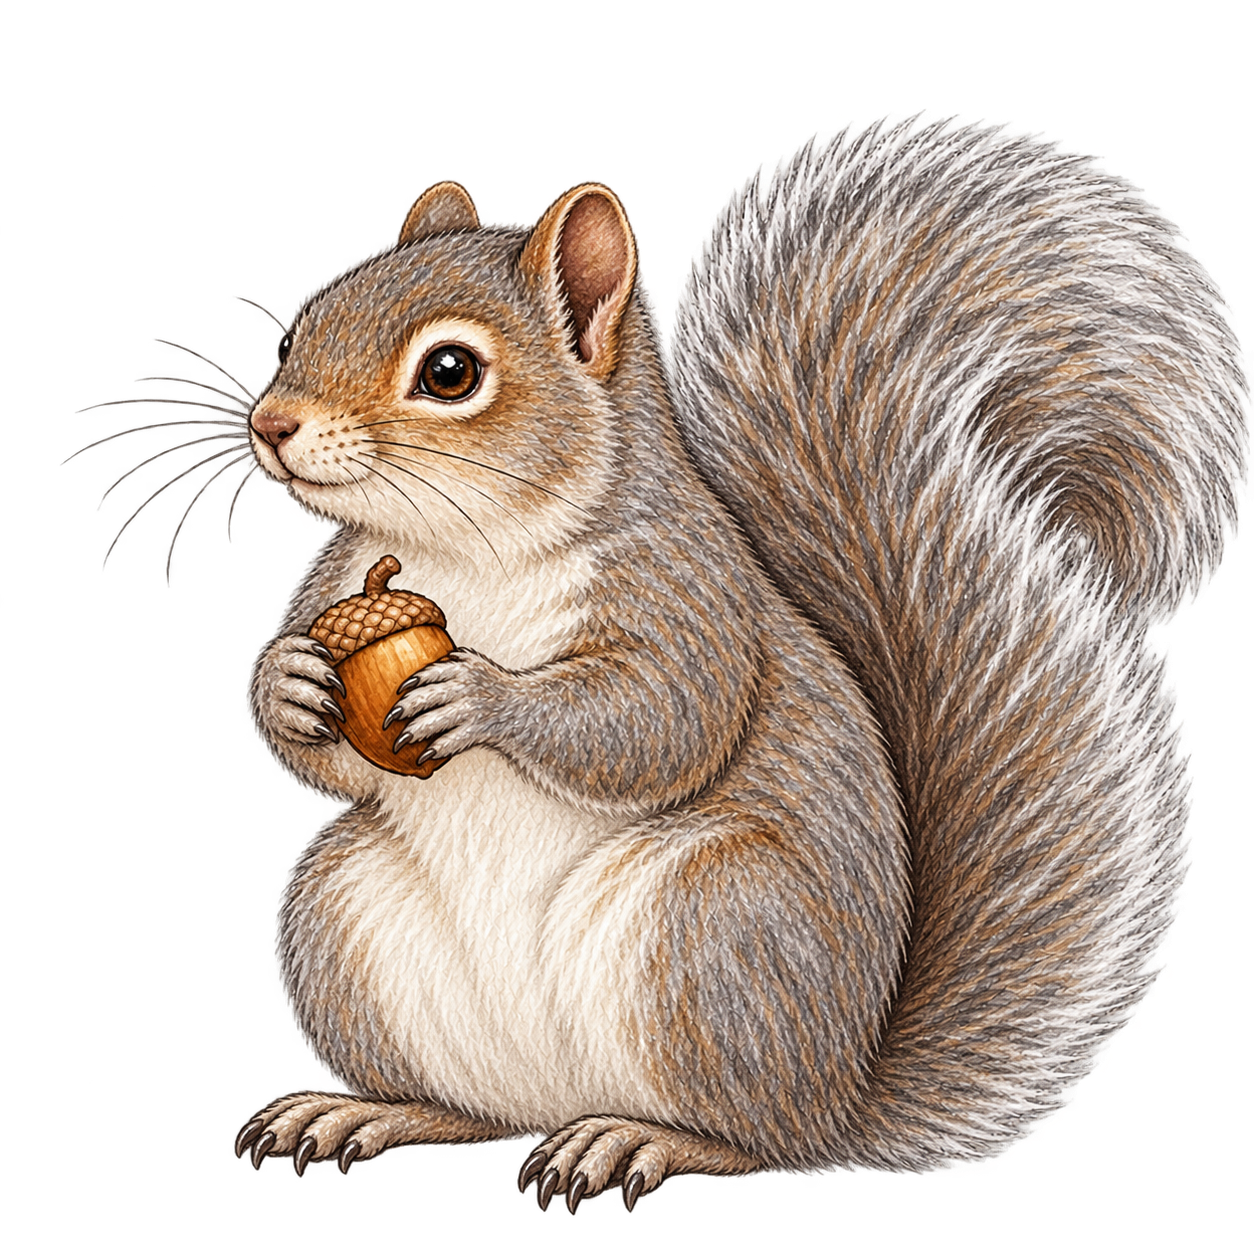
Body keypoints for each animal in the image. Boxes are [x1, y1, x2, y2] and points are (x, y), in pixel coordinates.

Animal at [79, 112, 1249, 1207]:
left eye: (450, 372)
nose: (272, 425)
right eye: (299, 329)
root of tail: (839, 1097)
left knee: (754, 1145)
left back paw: (637, 1140)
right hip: (339, 916)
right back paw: (367, 1111)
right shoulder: (335, 588)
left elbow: (657, 719)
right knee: (473, 1113)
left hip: (710, 931)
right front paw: (289, 685)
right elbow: (314, 755)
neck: (469, 549)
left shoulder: (689, 596)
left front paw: (483, 698)